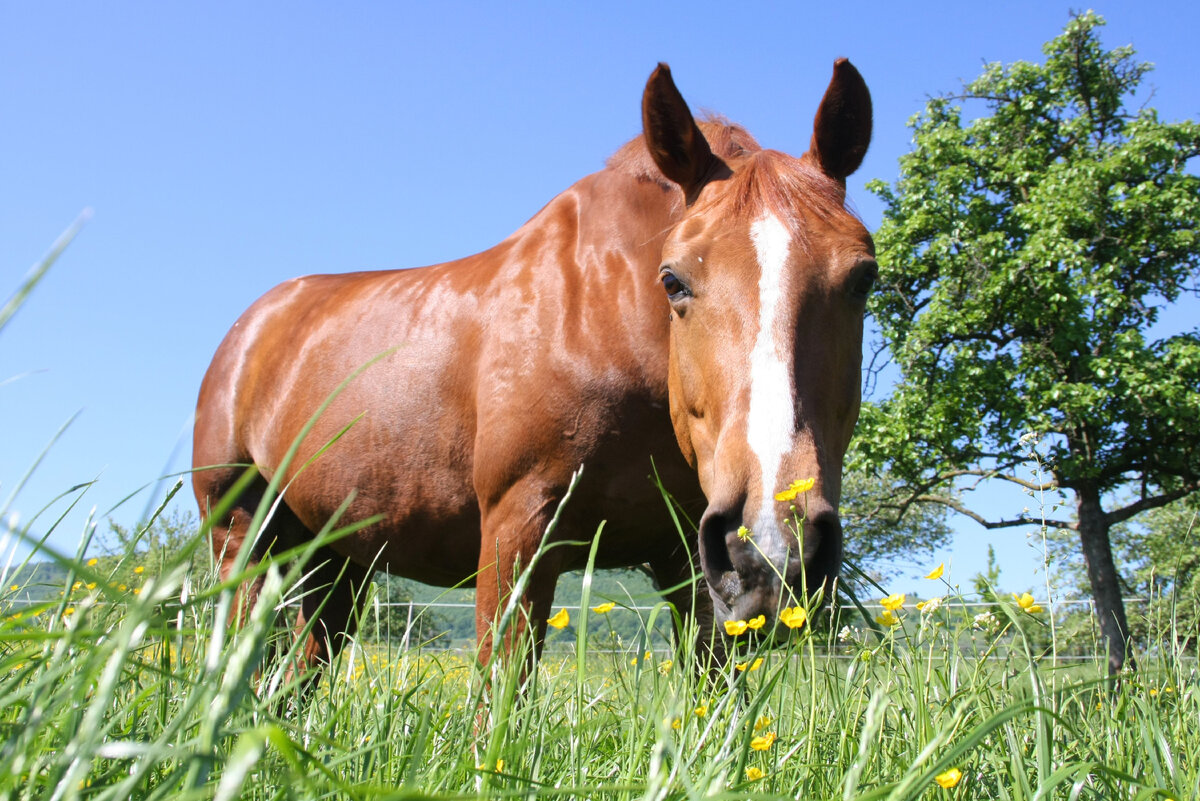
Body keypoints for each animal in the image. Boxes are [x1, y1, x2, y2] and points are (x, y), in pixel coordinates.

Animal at [192, 59, 878, 681]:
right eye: (673, 280)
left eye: (863, 278)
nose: (772, 545)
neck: (609, 324)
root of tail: (252, 327)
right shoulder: (517, 530)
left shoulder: (693, 560)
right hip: (243, 543)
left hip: (337, 557)